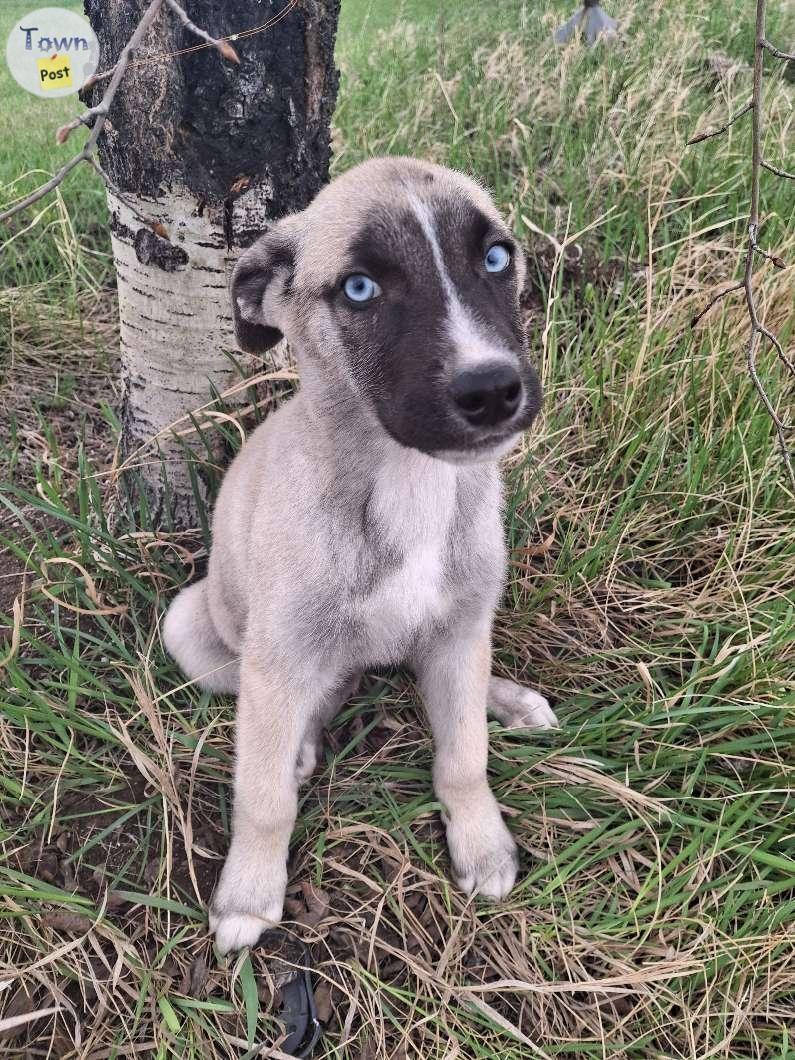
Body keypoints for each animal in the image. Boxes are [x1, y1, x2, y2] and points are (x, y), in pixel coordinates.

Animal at [163, 154, 559, 953]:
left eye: (496, 258)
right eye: (359, 289)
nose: (492, 390)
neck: (409, 482)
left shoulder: (458, 628)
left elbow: (463, 756)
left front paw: (481, 843)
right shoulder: (278, 657)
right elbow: (261, 798)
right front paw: (249, 894)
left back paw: (507, 699)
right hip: (193, 629)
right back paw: (302, 744)